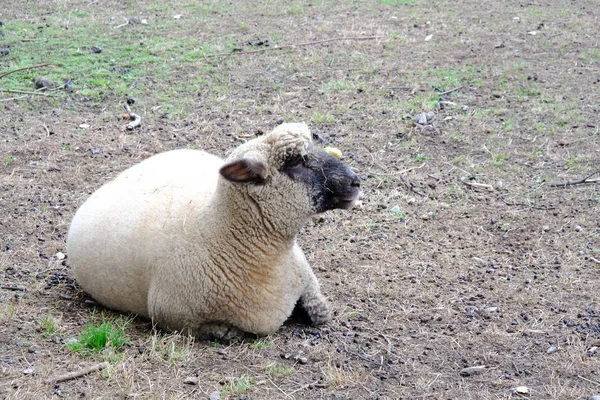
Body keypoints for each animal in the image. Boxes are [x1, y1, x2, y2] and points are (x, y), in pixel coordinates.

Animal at [68, 123, 360, 340]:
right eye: (295, 162)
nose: (356, 181)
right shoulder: (175, 317)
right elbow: (225, 332)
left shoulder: (306, 281)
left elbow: (321, 312)